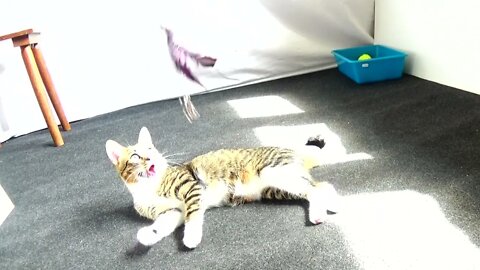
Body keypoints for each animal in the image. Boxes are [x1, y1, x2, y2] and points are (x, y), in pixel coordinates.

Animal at [106, 126, 338, 249]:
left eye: (151, 149)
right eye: (136, 156)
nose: (151, 158)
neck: (148, 187)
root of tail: (295, 152)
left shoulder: (192, 189)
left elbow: (193, 216)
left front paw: (191, 237)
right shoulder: (172, 212)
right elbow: (163, 224)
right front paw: (149, 235)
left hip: (274, 173)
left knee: (318, 187)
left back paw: (326, 209)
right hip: (274, 189)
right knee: (320, 187)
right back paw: (329, 206)